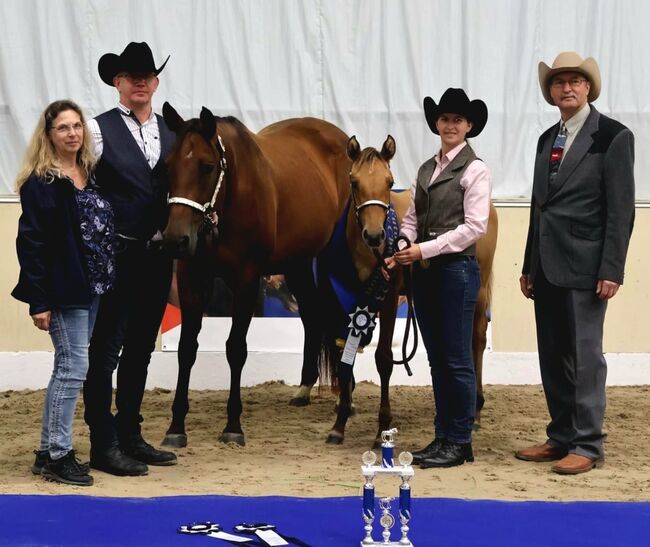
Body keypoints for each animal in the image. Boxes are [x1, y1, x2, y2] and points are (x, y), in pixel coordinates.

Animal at [158, 100, 350, 448]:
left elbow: (236, 348)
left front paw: (233, 425)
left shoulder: (247, 282)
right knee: (312, 314)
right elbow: (186, 349)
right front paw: (176, 427)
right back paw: (304, 387)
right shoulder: (194, 280)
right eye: (168, 166)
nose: (175, 240)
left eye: (206, 166)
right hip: (297, 264)